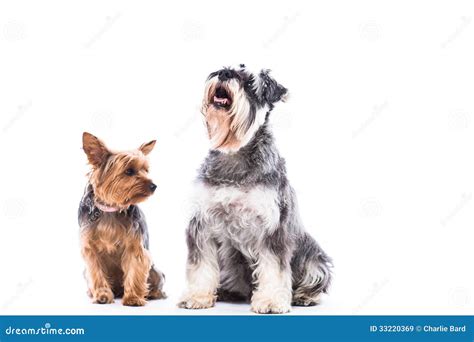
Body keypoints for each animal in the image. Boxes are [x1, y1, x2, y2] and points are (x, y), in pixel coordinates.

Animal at [78, 132, 166, 306]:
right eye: (129, 171)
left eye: (146, 170)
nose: (154, 186)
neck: (111, 209)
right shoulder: (90, 249)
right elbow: (97, 273)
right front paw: (102, 296)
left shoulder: (135, 246)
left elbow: (135, 270)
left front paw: (133, 298)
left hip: (156, 272)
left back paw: (151, 293)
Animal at [179, 65, 334, 314]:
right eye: (226, 67)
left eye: (250, 82)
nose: (224, 73)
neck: (234, 153)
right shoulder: (203, 223)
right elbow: (200, 264)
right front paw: (198, 296)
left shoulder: (273, 229)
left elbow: (273, 268)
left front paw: (270, 301)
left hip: (313, 258)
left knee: (315, 278)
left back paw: (305, 296)